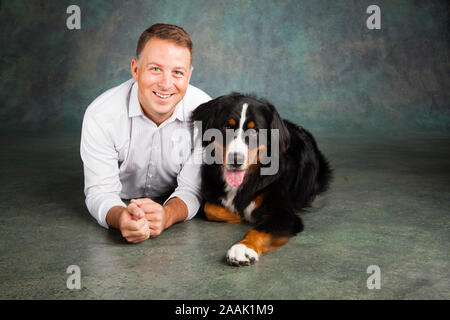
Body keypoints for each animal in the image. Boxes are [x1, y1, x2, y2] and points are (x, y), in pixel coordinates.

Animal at [192, 93, 332, 268]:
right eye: (227, 127)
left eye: (254, 132)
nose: (235, 160)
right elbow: (210, 208)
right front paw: (238, 215)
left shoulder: (283, 213)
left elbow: (259, 229)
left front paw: (243, 248)